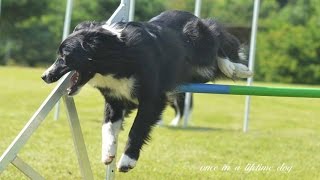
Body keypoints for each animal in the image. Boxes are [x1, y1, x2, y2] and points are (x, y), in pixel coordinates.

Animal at [41, 10, 252, 172]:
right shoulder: (115, 100)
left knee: (216, 39)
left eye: (65, 56)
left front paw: (127, 160)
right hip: (194, 74)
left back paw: (236, 68)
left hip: (197, 37)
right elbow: (107, 126)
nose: (45, 76)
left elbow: (137, 129)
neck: (116, 57)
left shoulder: (152, 99)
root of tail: (191, 15)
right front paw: (108, 152)